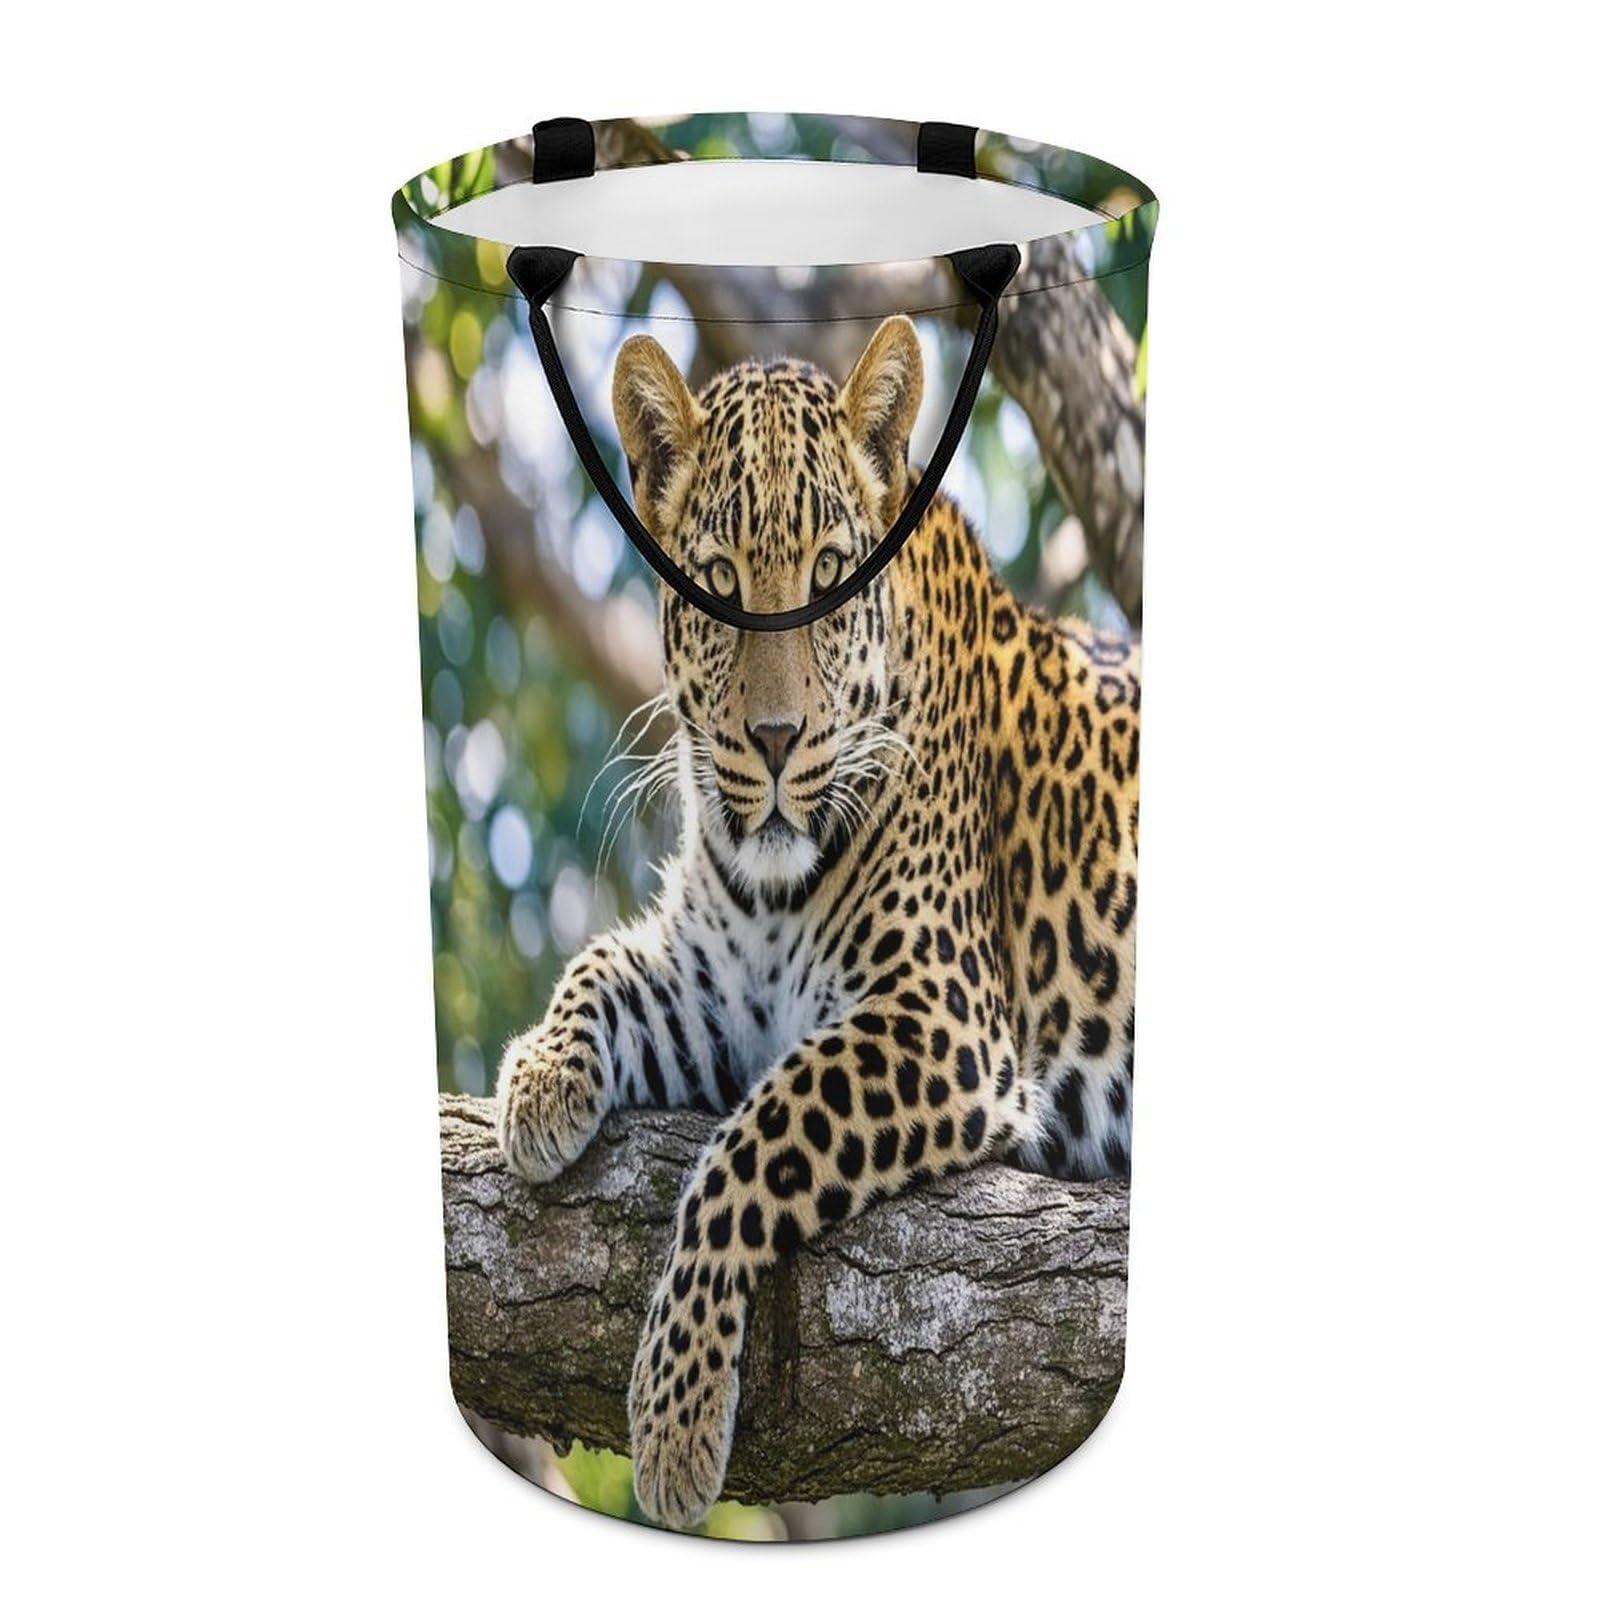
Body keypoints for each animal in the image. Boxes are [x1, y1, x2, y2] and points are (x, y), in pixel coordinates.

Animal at [494, 312, 1139, 1528]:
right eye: (717, 580)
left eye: (831, 575)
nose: (778, 738)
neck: (770, 882)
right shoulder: (711, 990)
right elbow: (603, 962)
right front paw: (539, 1082)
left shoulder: (941, 1021)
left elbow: (753, 1145)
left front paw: (677, 1414)